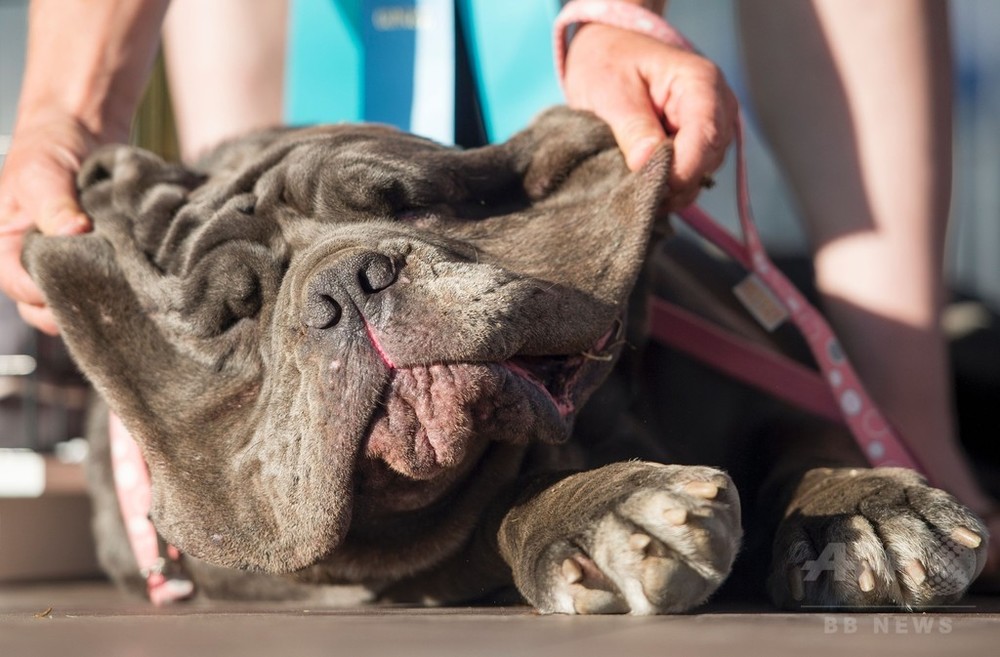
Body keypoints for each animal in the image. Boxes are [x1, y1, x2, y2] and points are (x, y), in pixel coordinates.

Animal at [21, 105, 984, 612]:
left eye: (408, 201)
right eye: (235, 312)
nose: (345, 284)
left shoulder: (774, 394)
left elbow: (817, 438)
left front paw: (860, 513)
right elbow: (493, 510)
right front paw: (601, 513)